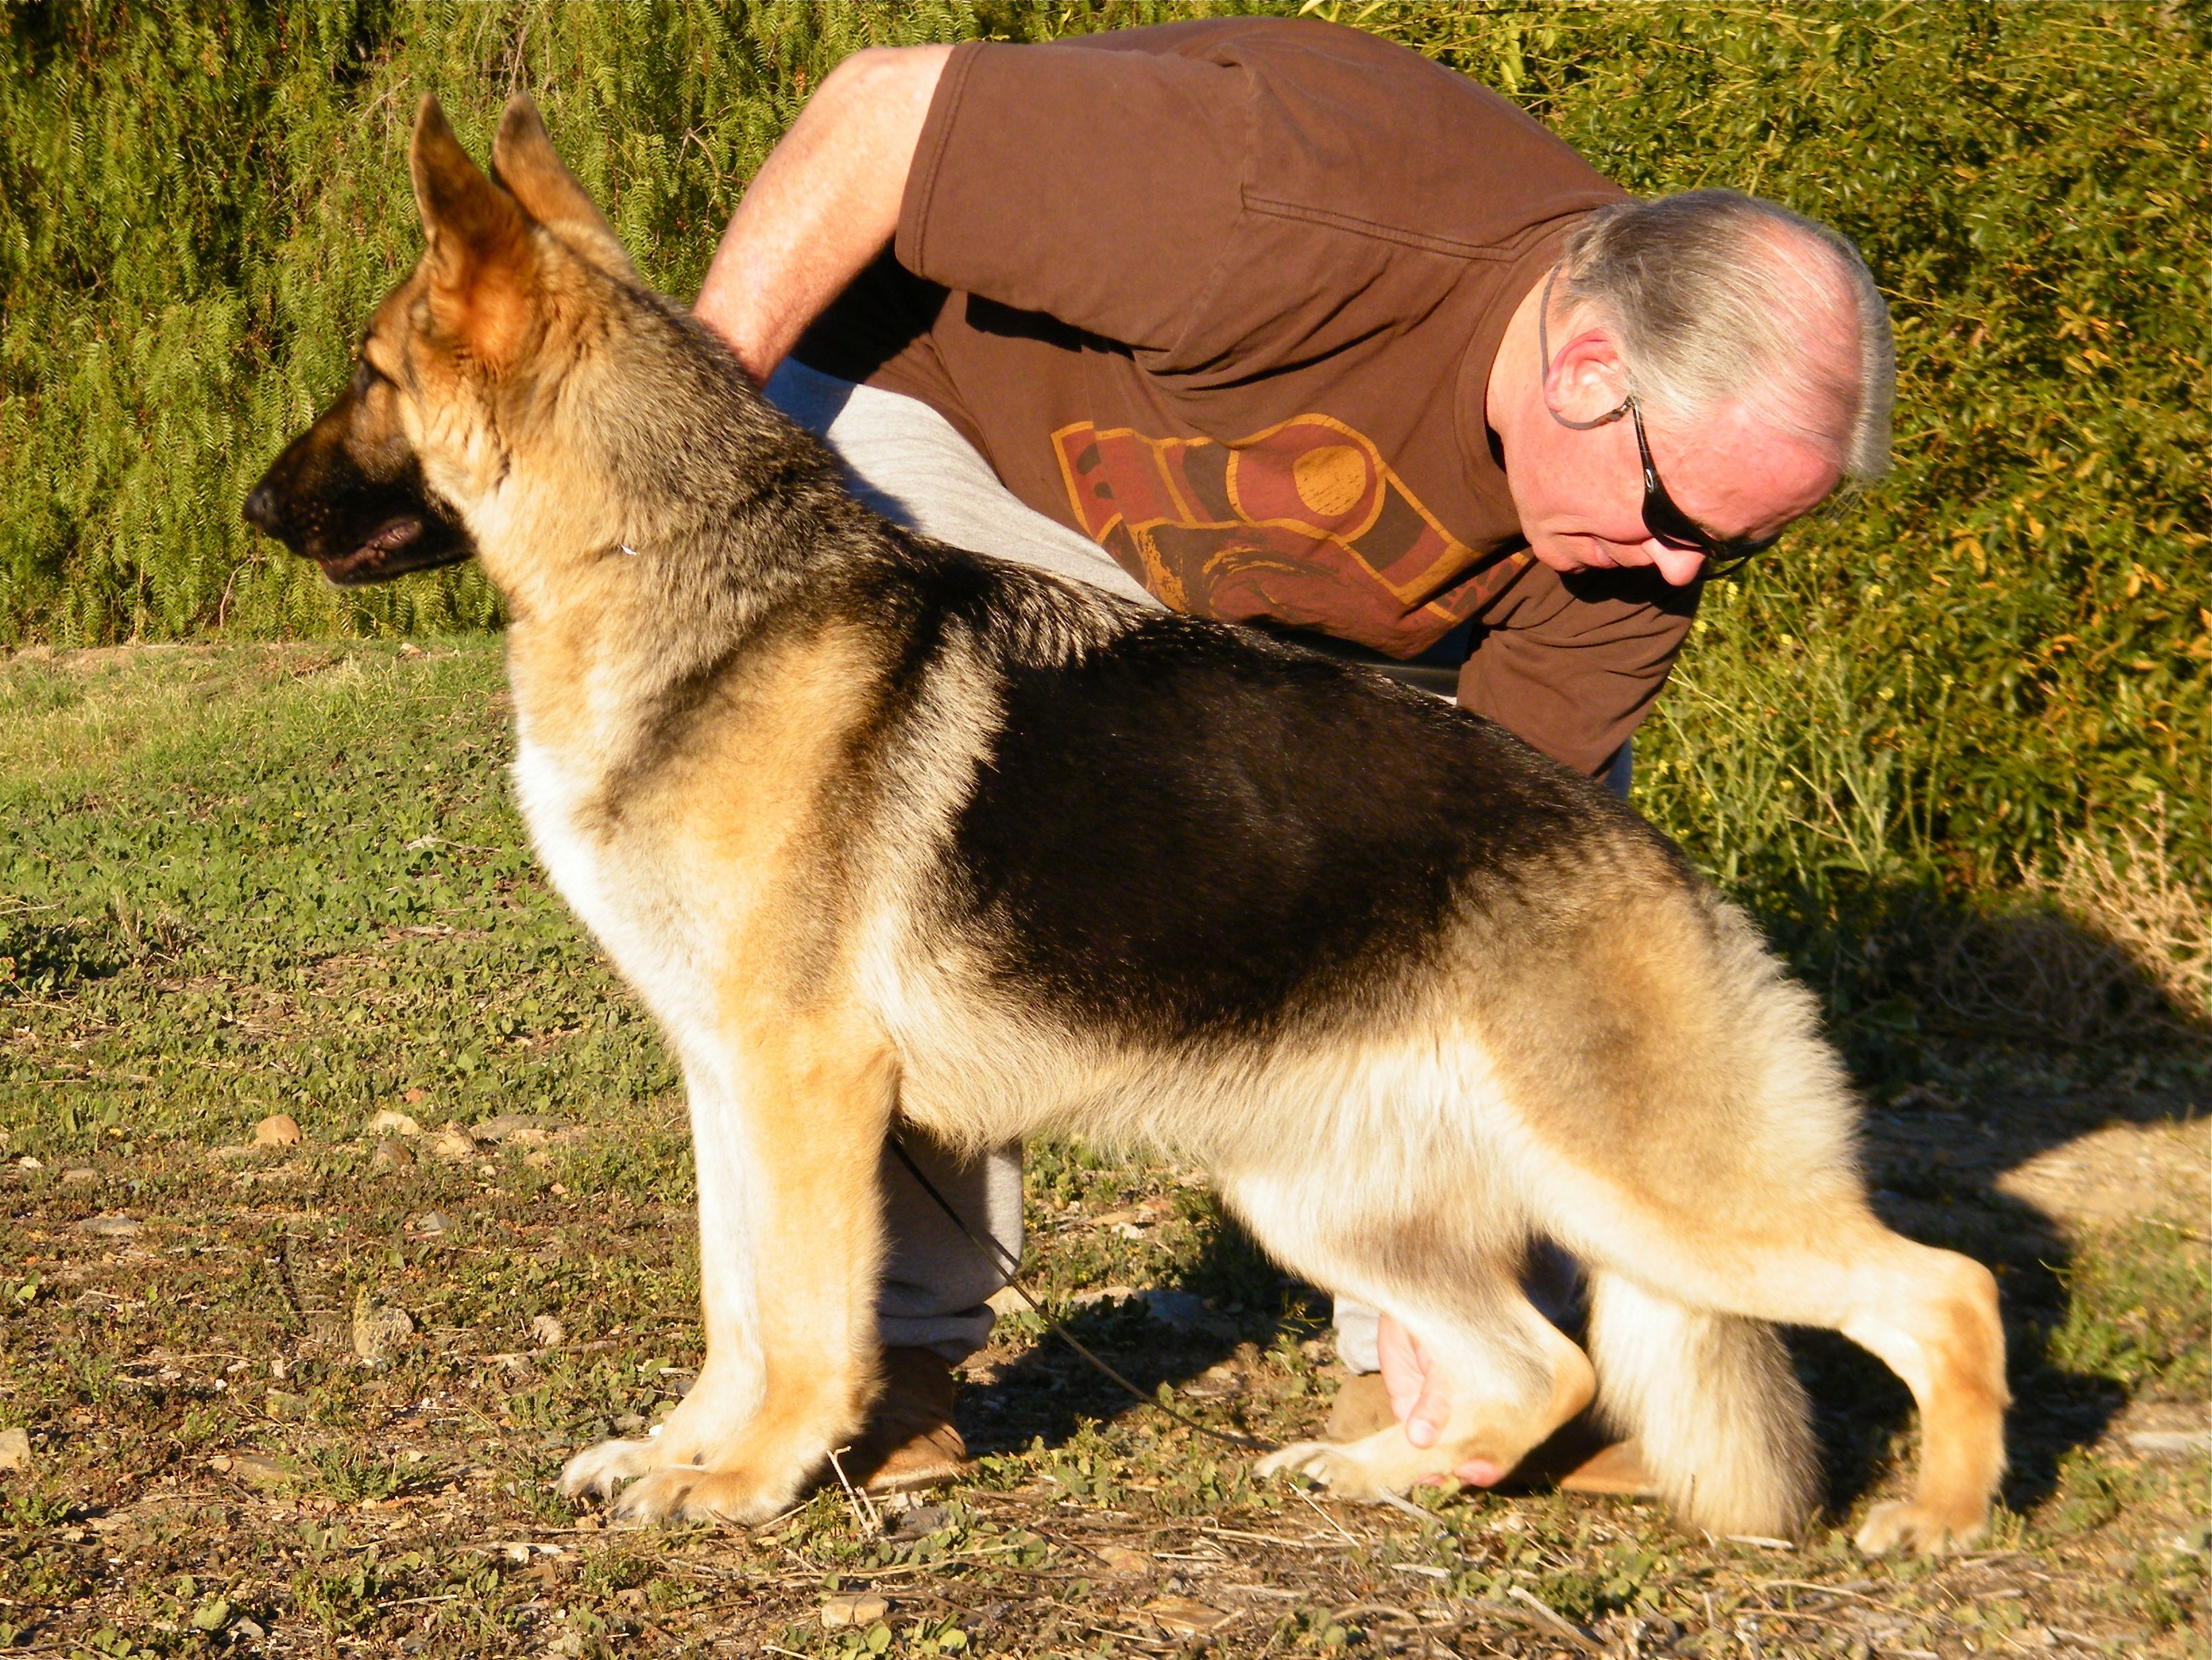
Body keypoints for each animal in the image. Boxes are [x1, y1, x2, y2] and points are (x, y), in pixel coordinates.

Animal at [242, 97, 2008, 1558]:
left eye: (373, 373)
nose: (253, 509)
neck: (672, 555)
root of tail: (1653, 866)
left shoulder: (803, 1083)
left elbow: (801, 1320)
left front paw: (745, 1480)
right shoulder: (724, 1080)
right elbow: (734, 1299)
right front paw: (685, 1450)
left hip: (1649, 1195)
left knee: (1942, 1287)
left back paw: (1933, 1517)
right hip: (1322, 1199)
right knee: (1537, 1367)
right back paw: (1377, 1468)